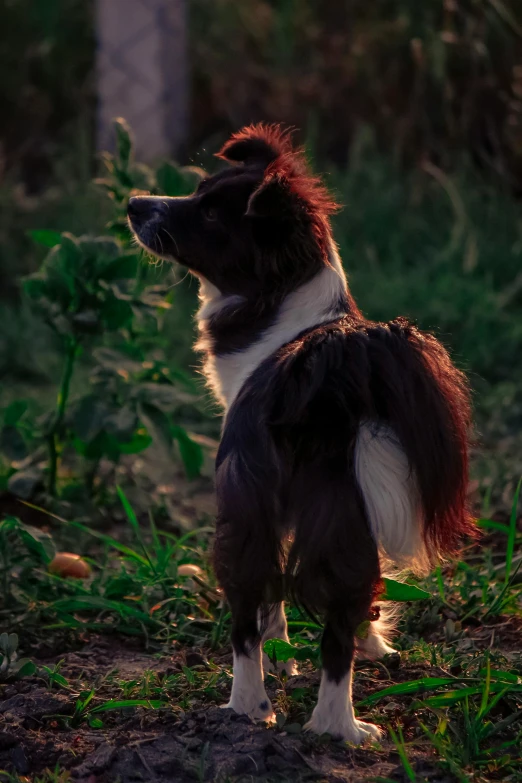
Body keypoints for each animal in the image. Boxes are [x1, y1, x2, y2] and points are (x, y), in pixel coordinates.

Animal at [128, 125, 474, 744]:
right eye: (198, 193)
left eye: (210, 213)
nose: (133, 204)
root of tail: (329, 368)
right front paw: (367, 645)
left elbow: (274, 602)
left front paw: (282, 654)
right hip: (330, 508)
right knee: (333, 619)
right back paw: (339, 727)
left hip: (254, 502)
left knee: (248, 616)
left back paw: (254, 708)